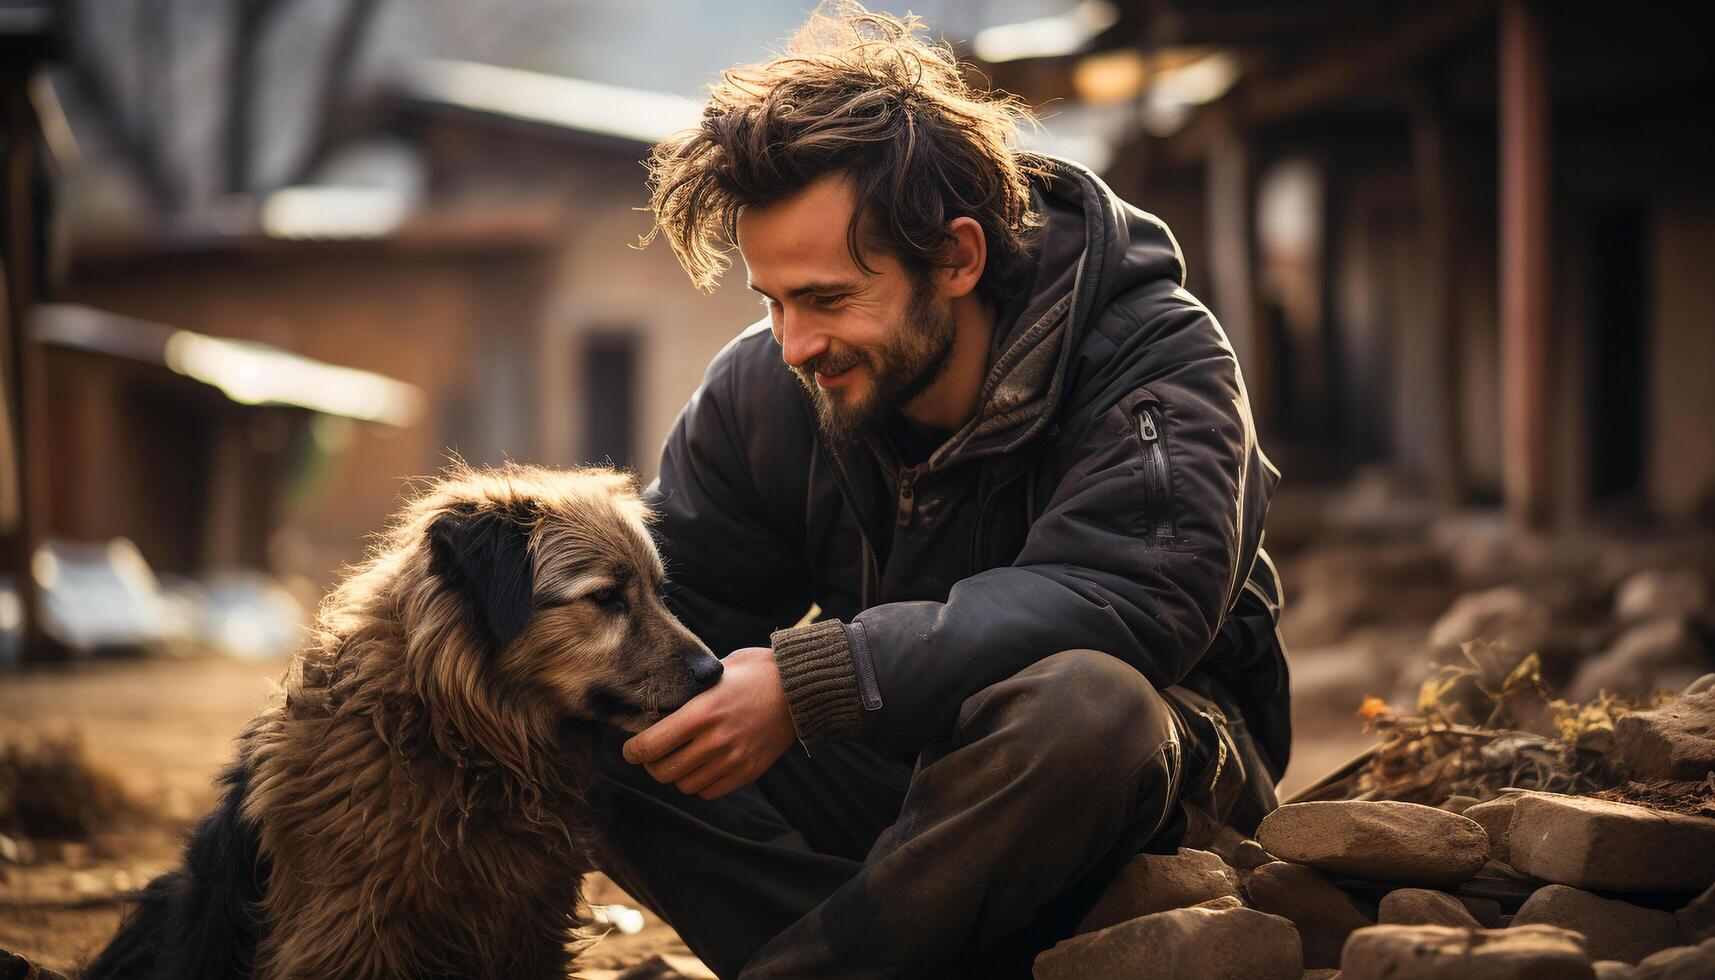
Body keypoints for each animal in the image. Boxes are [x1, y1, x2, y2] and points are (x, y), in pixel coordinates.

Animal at [88, 466, 716, 980]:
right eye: (606, 598)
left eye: (659, 593)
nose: (714, 673)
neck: (452, 738)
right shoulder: (348, 937)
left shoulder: (531, 927)